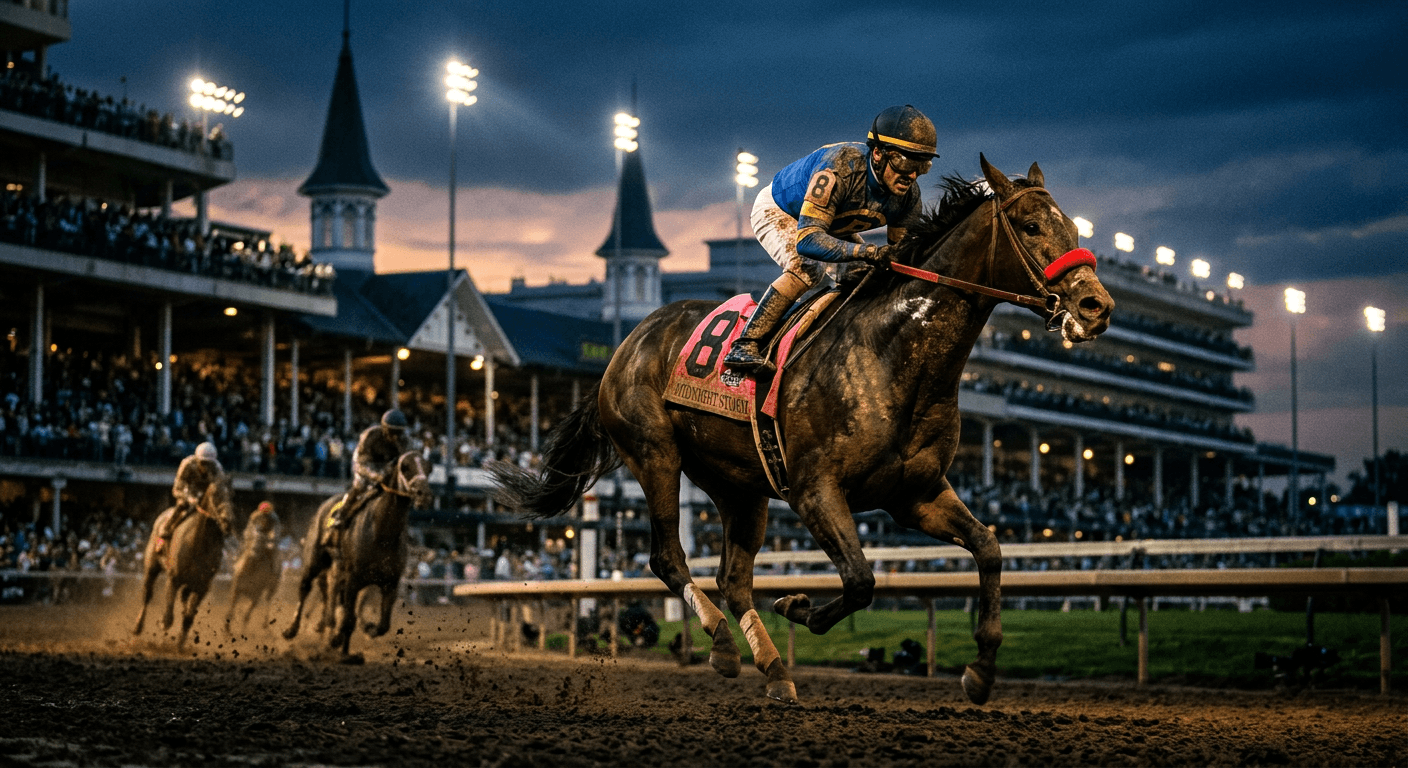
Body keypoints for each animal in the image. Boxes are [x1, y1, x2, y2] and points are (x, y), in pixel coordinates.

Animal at [132, 478, 234, 646]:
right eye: (215, 494)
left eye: (232, 495)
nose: (227, 521)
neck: (199, 545)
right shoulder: (174, 578)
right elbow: (168, 617)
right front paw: (163, 625)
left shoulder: (202, 587)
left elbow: (188, 618)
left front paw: (180, 644)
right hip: (152, 566)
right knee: (147, 594)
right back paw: (137, 627)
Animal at [224, 505, 282, 634]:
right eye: (253, 540)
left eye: (261, 542)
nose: (253, 552)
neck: (251, 570)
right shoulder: (236, 588)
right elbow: (230, 611)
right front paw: (226, 630)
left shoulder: (257, 594)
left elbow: (247, 615)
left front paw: (241, 633)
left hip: (272, 587)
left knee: (268, 600)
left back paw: (265, 624)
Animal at [282, 451, 433, 655]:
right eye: (406, 467)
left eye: (428, 468)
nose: (424, 495)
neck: (382, 533)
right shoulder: (353, 580)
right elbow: (347, 619)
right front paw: (336, 640)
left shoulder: (390, 583)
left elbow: (382, 625)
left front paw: (367, 629)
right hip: (314, 560)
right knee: (305, 588)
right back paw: (293, 629)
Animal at [493, 156, 1114, 705]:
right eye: (1031, 225)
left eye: (1070, 226)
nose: (1096, 305)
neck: (894, 356)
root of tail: (627, 343)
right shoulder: (816, 490)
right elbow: (861, 580)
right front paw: (797, 607)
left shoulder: (914, 494)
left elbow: (988, 547)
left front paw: (982, 668)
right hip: (656, 455)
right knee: (668, 558)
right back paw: (723, 645)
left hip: (740, 487)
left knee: (733, 578)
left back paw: (772, 669)